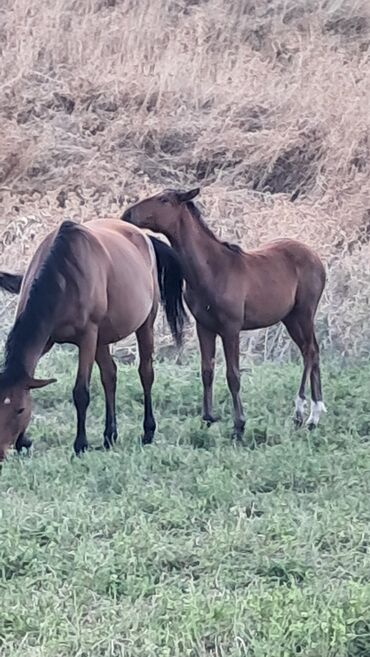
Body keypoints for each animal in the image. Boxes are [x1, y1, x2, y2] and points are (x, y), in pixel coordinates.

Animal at [0, 218, 186, 458]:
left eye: (20, 409)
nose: (1, 450)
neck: (63, 275)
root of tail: (143, 235)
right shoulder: (48, 339)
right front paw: (24, 441)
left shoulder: (87, 337)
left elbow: (81, 392)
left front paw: (80, 444)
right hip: (102, 339)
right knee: (110, 375)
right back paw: (109, 436)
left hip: (144, 323)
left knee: (146, 373)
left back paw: (148, 432)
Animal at [122, 187, 326, 438]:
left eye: (164, 200)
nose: (127, 214)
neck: (213, 269)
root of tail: (315, 257)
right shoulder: (204, 326)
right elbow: (207, 371)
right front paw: (207, 418)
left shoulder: (231, 329)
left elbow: (233, 375)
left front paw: (239, 425)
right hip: (290, 318)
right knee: (312, 350)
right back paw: (311, 415)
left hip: (304, 312)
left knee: (310, 351)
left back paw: (305, 414)